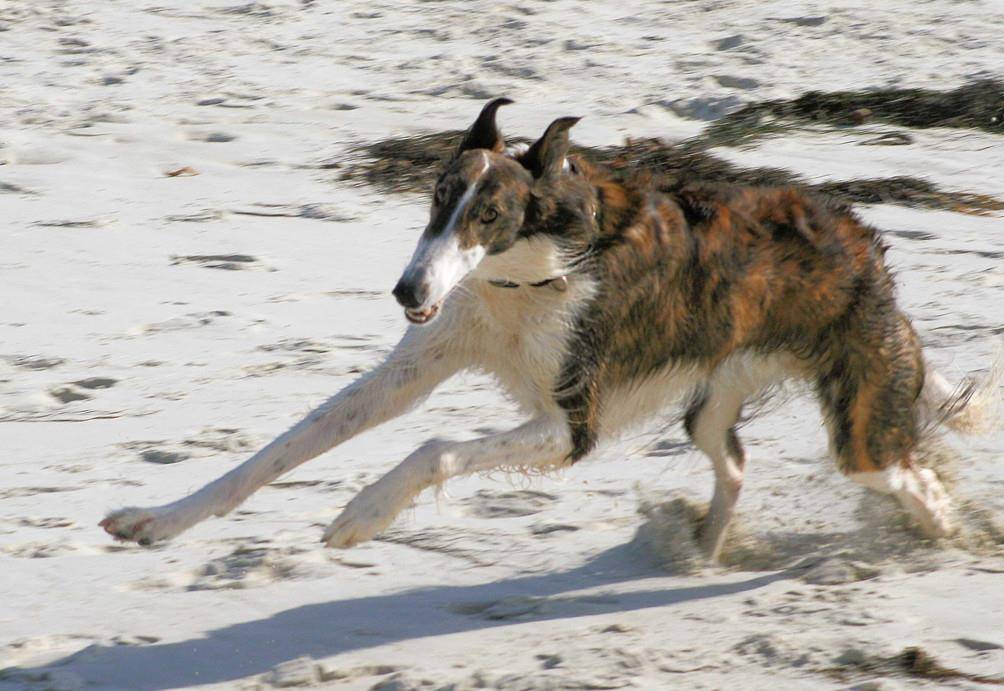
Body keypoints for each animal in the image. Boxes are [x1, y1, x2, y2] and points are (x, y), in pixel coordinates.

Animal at [97, 97, 991, 562]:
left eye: (487, 214)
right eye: (436, 198)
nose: (408, 290)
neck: (524, 276)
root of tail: (864, 241)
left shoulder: (570, 425)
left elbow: (433, 448)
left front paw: (361, 513)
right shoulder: (420, 362)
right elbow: (282, 447)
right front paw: (155, 520)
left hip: (859, 423)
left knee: (915, 480)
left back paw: (948, 541)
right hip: (711, 396)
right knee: (733, 461)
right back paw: (700, 546)